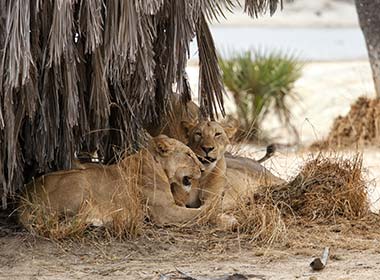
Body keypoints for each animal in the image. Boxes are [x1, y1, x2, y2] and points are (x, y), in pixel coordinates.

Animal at [18, 135, 205, 231]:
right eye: (188, 154)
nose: (203, 169)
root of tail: (23, 198)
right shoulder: (165, 212)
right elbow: (197, 214)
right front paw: (211, 210)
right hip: (80, 181)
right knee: (67, 222)